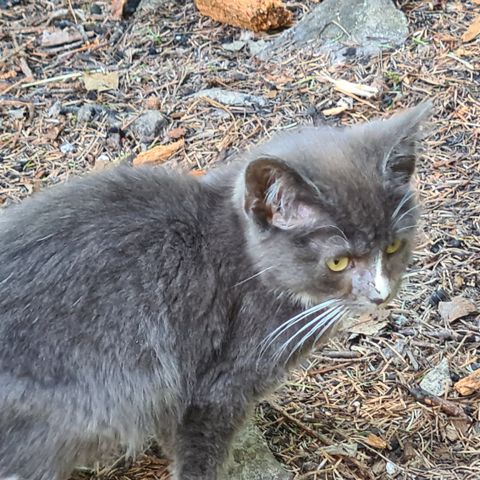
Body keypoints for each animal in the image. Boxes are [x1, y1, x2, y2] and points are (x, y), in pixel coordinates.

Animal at [0, 103, 432, 480]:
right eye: (339, 262)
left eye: (393, 246)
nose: (380, 294)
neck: (245, 262)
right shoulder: (218, 386)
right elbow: (201, 450)